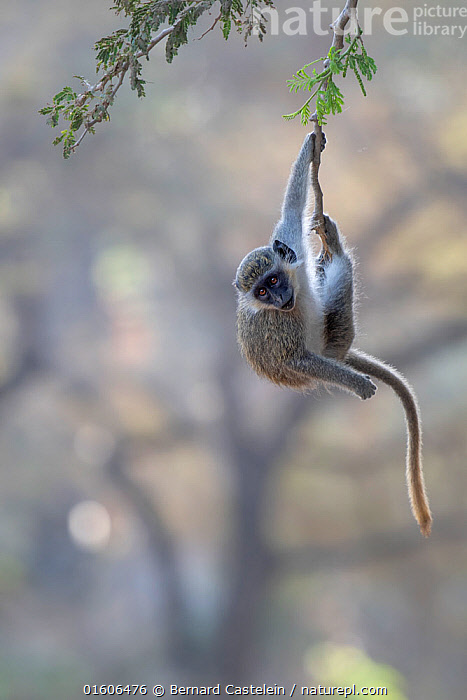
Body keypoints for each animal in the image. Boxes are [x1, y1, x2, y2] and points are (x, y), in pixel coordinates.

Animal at [236, 133, 434, 536]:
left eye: (273, 280)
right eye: (261, 292)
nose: (277, 298)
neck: (293, 295)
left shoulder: (289, 245)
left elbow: (291, 211)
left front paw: (312, 144)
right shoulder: (277, 325)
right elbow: (296, 359)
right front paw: (357, 384)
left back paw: (332, 246)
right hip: (333, 339)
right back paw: (338, 255)